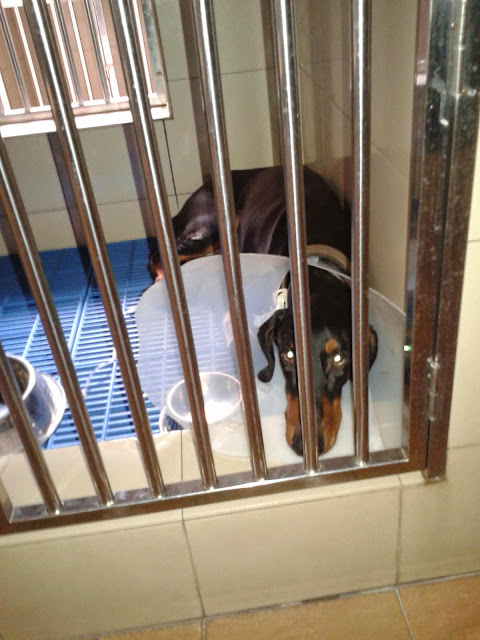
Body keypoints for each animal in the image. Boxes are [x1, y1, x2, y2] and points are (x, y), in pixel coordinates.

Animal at [147, 165, 377, 456]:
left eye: (339, 359)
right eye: (289, 355)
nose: (304, 445)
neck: (316, 271)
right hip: (207, 227)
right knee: (159, 254)